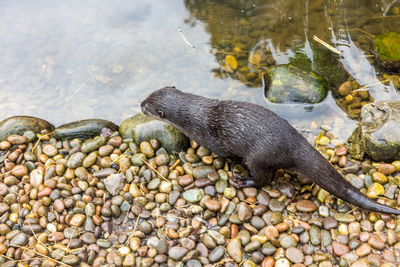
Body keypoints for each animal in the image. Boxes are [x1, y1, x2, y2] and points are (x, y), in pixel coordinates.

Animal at [141, 87, 400, 217]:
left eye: (148, 106)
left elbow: (226, 155)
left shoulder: (213, 141)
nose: (139, 103)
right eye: (148, 94)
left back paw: (244, 181)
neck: (195, 115)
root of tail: (293, 143)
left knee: (264, 178)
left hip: (258, 157)